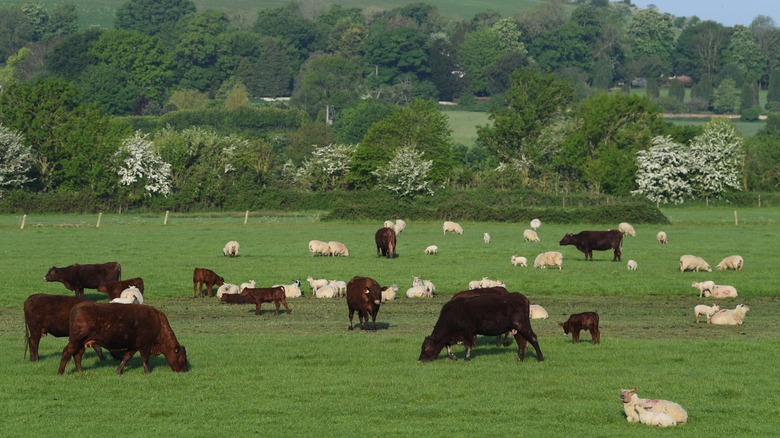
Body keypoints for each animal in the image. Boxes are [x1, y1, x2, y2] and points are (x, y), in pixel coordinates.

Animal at [58, 302, 188, 375]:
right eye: (182, 357)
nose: (185, 370)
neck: (158, 323)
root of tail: (76, 307)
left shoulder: (133, 346)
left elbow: (126, 358)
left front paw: (118, 371)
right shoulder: (144, 346)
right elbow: (145, 359)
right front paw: (147, 372)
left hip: (82, 343)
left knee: (77, 355)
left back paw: (80, 371)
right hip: (76, 341)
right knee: (67, 352)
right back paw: (60, 372)